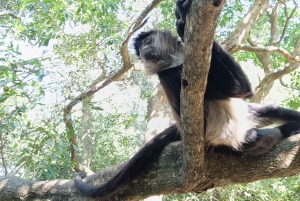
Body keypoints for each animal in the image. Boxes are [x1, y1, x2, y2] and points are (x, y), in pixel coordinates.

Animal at [74, 0, 300, 198]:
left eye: (146, 42)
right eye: (140, 50)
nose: (143, 51)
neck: (175, 60)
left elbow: (244, 92)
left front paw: (182, 15)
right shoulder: (169, 75)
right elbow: (240, 89)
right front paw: (182, 25)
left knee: (273, 110)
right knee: (252, 135)